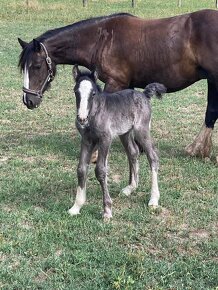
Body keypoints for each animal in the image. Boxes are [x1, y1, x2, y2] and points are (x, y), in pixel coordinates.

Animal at [18, 9, 218, 157]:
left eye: (36, 66)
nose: (29, 100)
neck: (102, 39)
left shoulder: (115, 83)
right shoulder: (127, 84)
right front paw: (138, 146)